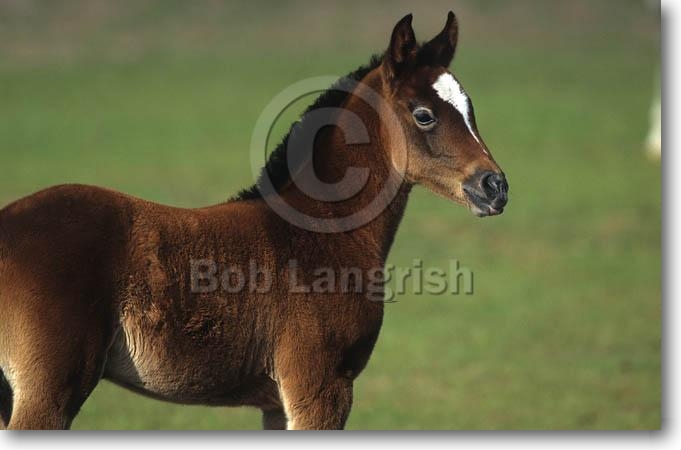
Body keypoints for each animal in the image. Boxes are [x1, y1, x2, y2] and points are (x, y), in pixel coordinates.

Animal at [0, 12, 508, 430]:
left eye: (471, 108)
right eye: (423, 115)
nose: (495, 186)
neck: (317, 232)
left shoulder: (277, 403)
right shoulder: (321, 387)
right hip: (48, 391)